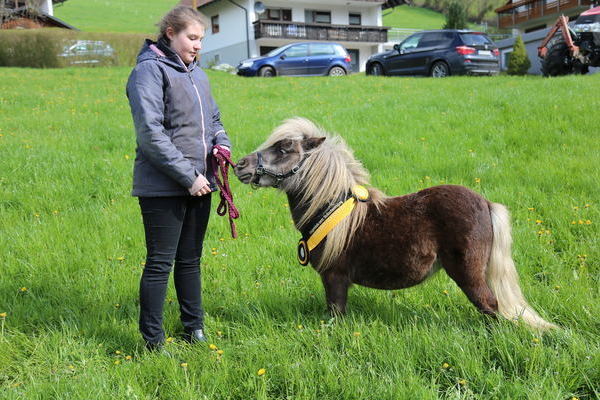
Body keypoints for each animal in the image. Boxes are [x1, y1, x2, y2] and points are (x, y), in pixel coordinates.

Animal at [233, 117, 556, 330]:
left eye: (285, 149)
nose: (240, 165)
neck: (332, 212)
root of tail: (486, 204)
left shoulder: (334, 278)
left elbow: (336, 314)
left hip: (470, 275)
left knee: (491, 307)